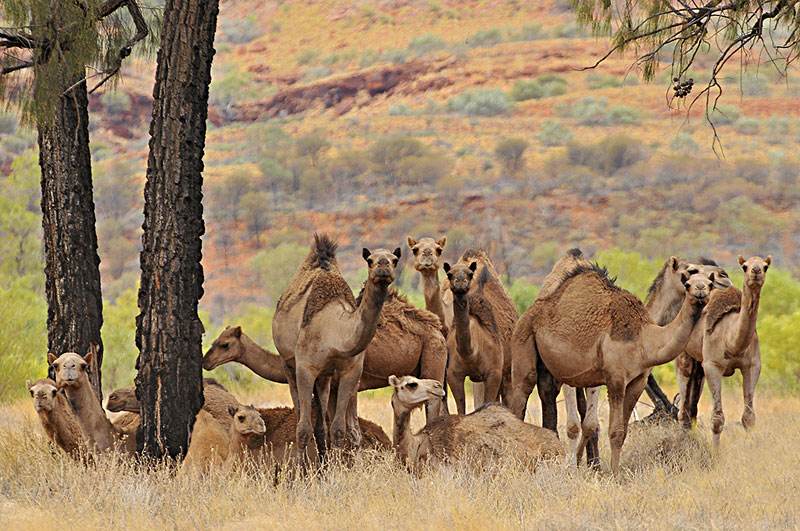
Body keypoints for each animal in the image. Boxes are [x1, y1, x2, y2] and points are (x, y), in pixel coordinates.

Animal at [272, 235, 400, 456]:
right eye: (370, 260)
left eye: (394, 260)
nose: (383, 267)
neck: (336, 333)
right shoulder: (305, 368)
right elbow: (303, 428)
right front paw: (300, 467)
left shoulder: (351, 372)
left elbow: (339, 428)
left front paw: (335, 465)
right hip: (287, 364)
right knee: (300, 415)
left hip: (324, 377)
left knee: (322, 423)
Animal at [444, 248, 520, 416]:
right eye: (450, 274)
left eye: (469, 274)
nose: (460, 283)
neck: (471, 352)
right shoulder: (453, 375)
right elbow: (461, 410)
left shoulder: (494, 373)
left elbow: (489, 405)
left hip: (507, 370)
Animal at [506, 262, 712, 474]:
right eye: (687, 283)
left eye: (710, 284)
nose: (700, 290)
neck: (644, 338)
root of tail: (529, 312)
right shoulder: (616, 380)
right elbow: (614, 431)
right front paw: (612, 474)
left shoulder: (638, 381)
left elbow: (622, 431)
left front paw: (610, 471)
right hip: (523, 339)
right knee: (521, 394)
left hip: (549, 369)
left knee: (547, 395)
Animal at [692, 256, 768, 450]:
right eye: (744, 266)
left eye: (766, 266)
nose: (756, 271)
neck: (731, 340)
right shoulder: (712, 365)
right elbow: (717, 418)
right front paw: (715, 453)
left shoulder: (752, 365)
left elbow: (748, 417)